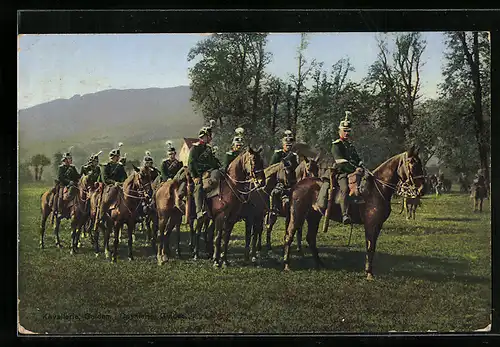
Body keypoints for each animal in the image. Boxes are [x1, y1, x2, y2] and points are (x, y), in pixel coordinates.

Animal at [284, 146, 424, 280]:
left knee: (311, 238)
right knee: (289, 235)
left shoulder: (378, 225)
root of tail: (297, 185)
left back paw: (320, 264)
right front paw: (369, 273)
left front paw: (369, 271)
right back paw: (287, 265)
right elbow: (370, 246)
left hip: (314, 217)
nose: (422, 189)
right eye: (412, 164)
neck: (376, 189)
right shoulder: (370, 225)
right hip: (297, 215)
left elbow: (372, 247)